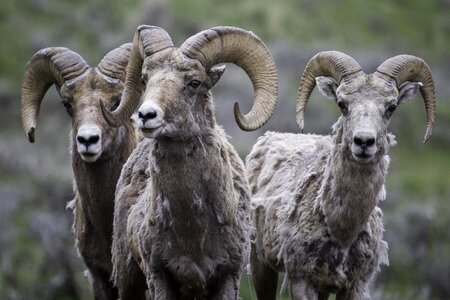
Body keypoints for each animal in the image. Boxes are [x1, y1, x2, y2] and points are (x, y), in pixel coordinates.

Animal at [100, 24, 280, 298]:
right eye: (144, 79)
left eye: (194, 83)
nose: (146, 115)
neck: (192, 231)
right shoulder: (160, 277)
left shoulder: (228, 277)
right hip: (127, 278)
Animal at [246, 51, 436, 300]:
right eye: (341, 104)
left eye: (391, 107)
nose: (364, 141)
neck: (342, 229)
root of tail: (268, 137)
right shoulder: (301, 281)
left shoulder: (354, 285)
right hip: (260, 263)